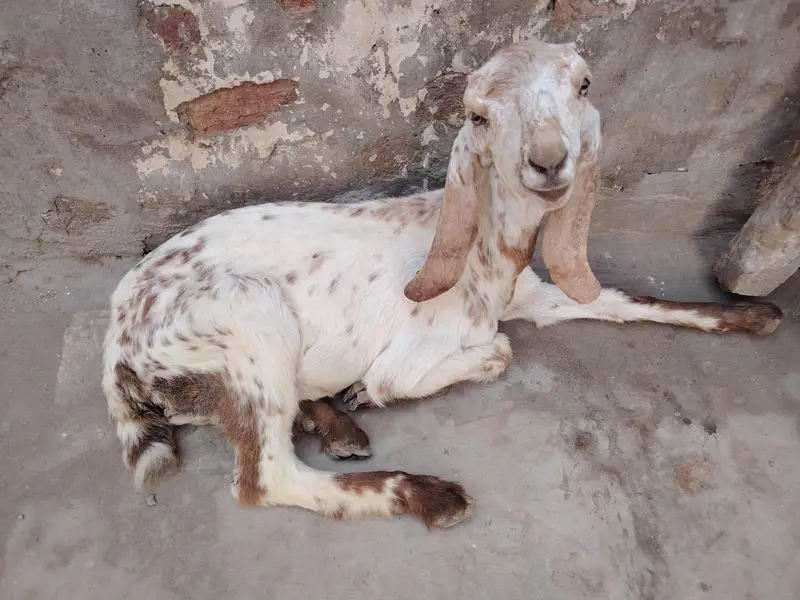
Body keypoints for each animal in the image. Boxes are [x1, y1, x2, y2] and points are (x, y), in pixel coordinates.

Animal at [103, 38, 783, 529]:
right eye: (479, 115)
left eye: (583, 85)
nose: (547, 160)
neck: (489, 257)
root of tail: (117, 348)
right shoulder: (406, 360)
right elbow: (489, 355)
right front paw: (374, 393)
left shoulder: (536, 294)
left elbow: (626, 301)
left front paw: (755, 316)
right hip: (250, 321)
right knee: (265, 478)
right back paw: (427, 493)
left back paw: (337, 427)